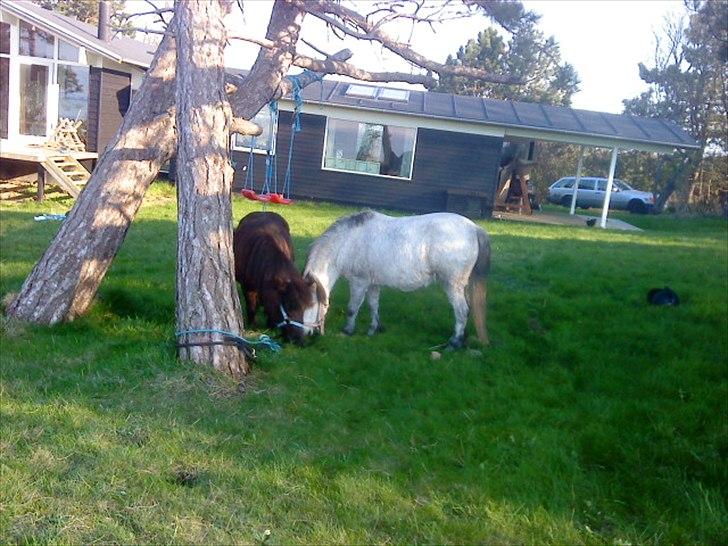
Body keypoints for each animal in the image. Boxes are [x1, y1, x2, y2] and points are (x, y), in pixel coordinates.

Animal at [235, 210, 318, 342]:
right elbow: (251, 305)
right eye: (288, 306)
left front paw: (271, 325)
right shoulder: (248, 287)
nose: (298, 340)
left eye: (305, 307)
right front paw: (253, 325)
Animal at [302, 210, 490, 346]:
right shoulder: (373, 283)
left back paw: (454, 342)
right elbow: (373, 305)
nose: (303, 338)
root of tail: (474, 228)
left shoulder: (358, 282)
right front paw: (373, 329)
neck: (347, 242)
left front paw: (348, 331)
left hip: (452, 285)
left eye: (309, 306)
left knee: (462, 310)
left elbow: (352, 308)